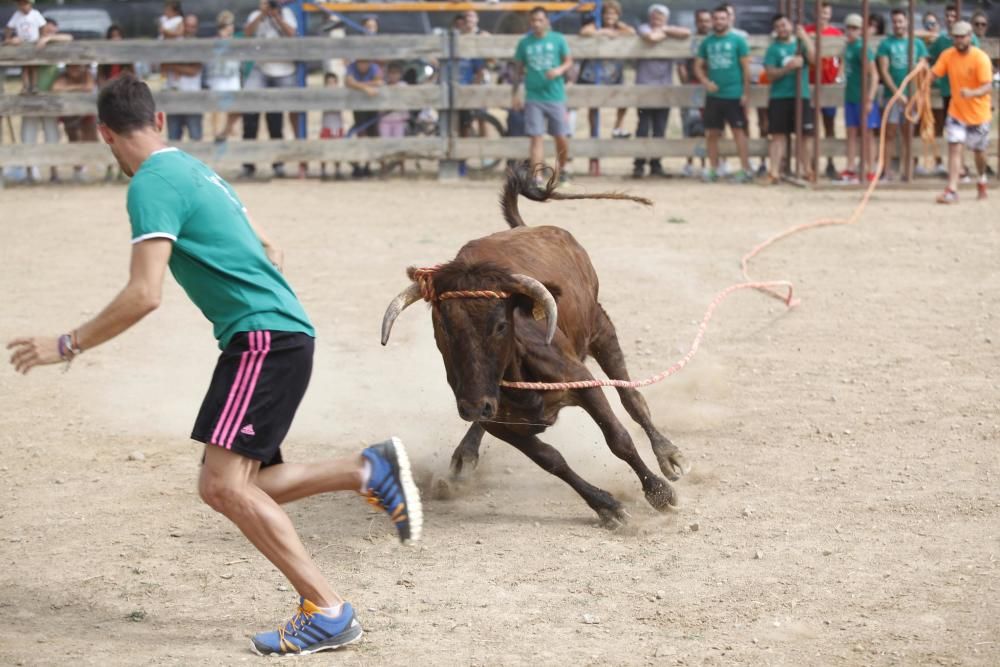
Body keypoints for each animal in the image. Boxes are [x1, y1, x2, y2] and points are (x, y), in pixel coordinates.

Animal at [380, 166, 688, 528]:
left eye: (501, 325)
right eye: (444, 326)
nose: (473, 404)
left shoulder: (583, 382)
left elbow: (618, 438)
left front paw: (659, 491)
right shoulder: (497, 421)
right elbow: (551, 459)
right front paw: (606, 506)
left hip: (600, 326)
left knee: (632, 398)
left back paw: (668, 454)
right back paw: (464, 458)